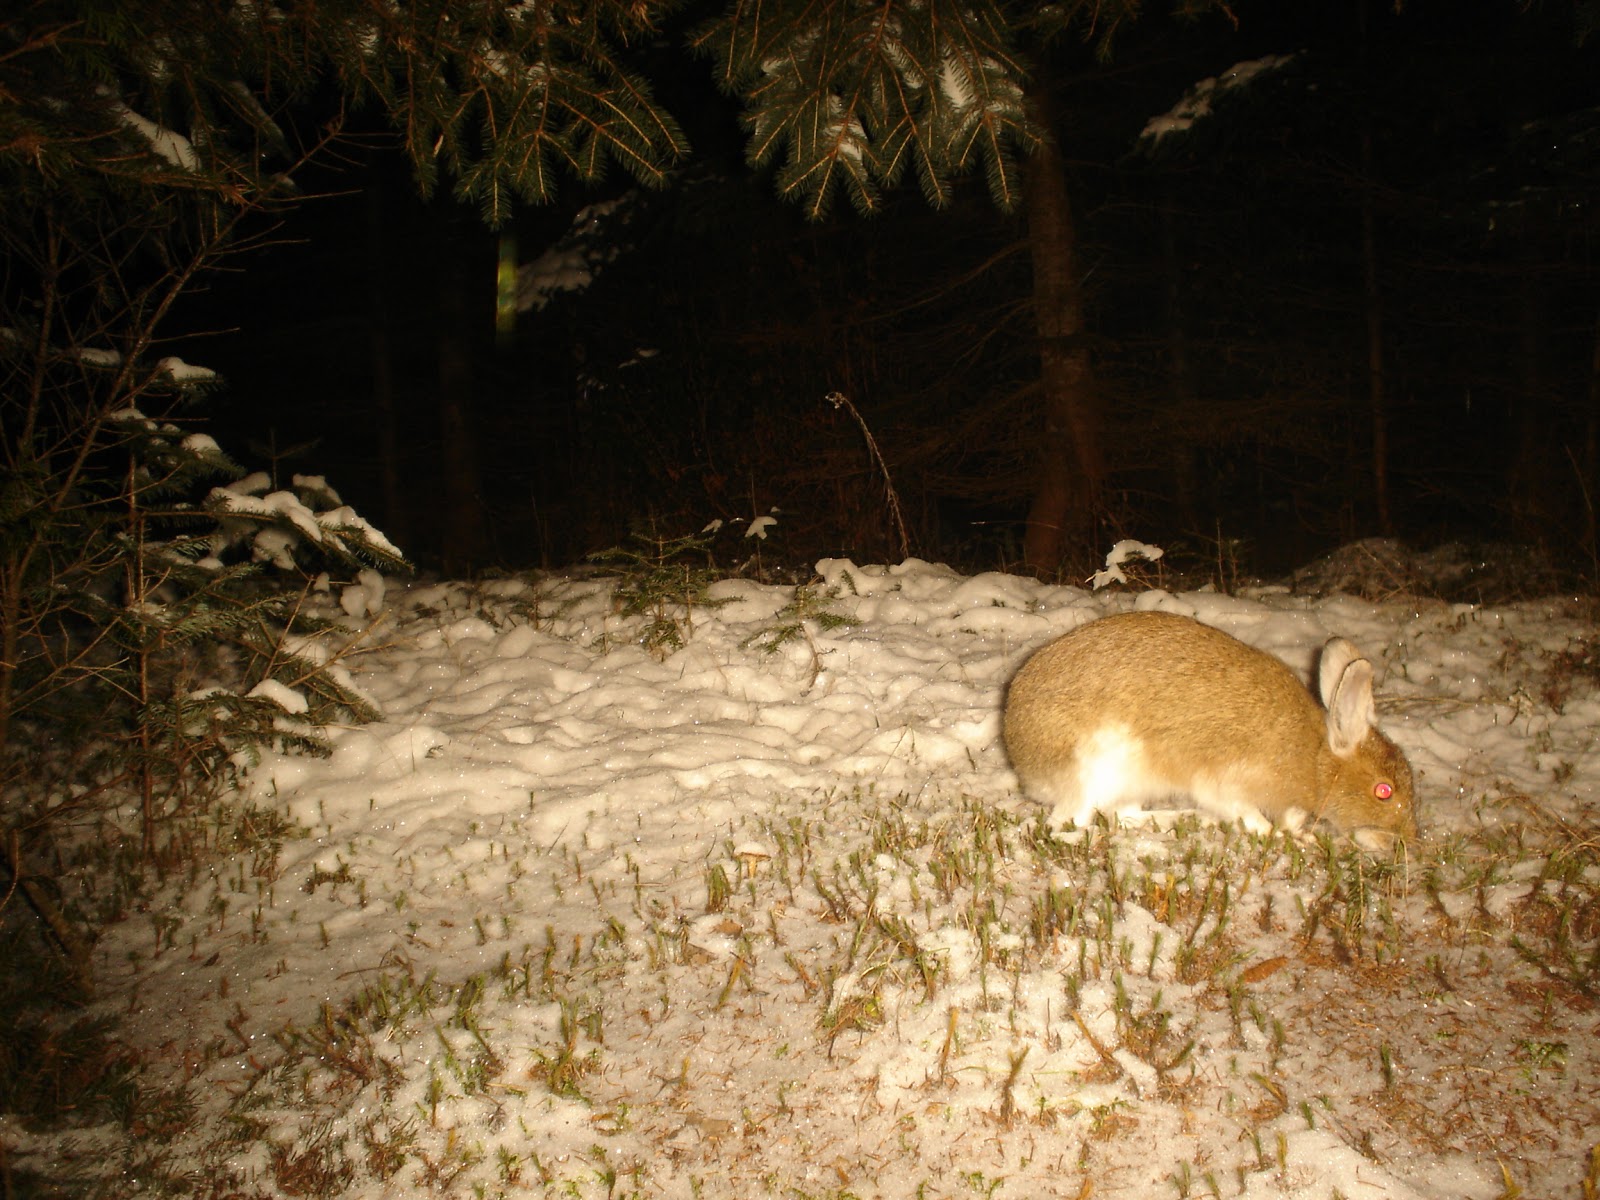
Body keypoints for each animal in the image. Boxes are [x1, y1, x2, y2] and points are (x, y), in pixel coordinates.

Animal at [1001, 610, 1416, 848]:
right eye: (1383, 791)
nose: (1406, 838)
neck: (1314, 759)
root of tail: (1026, 769)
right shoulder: (1228, 780)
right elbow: (1245, 811)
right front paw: (1278, 834)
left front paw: (1296, 827)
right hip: (1097, 769)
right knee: (1072, 820)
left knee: (1126, 815)